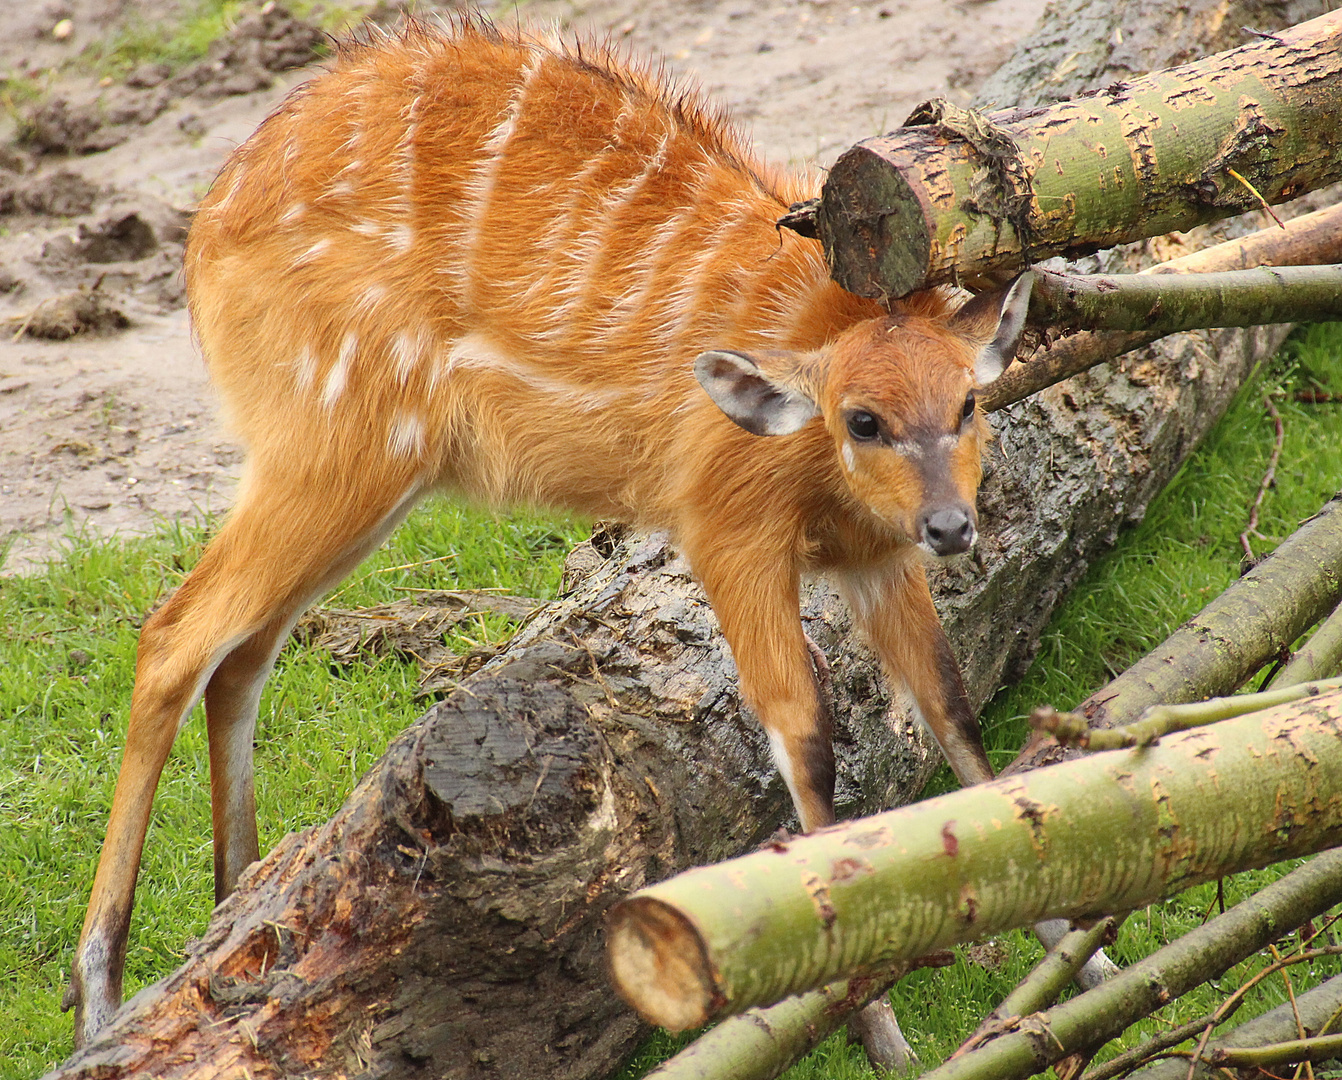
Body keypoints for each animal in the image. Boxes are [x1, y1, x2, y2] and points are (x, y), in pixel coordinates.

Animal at [65, 16, 1025, 1057]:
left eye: (967, 402)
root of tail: (202, 236)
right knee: (174, 635)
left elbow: (952, 706)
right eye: (862, 420)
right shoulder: (726, 527)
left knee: (241, 652)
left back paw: (234, 903)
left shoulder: (875, 557)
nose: (953, 526)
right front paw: (883, 1036)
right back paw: (100, 998)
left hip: (363, 479)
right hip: (332, 450)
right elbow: (806, 743)